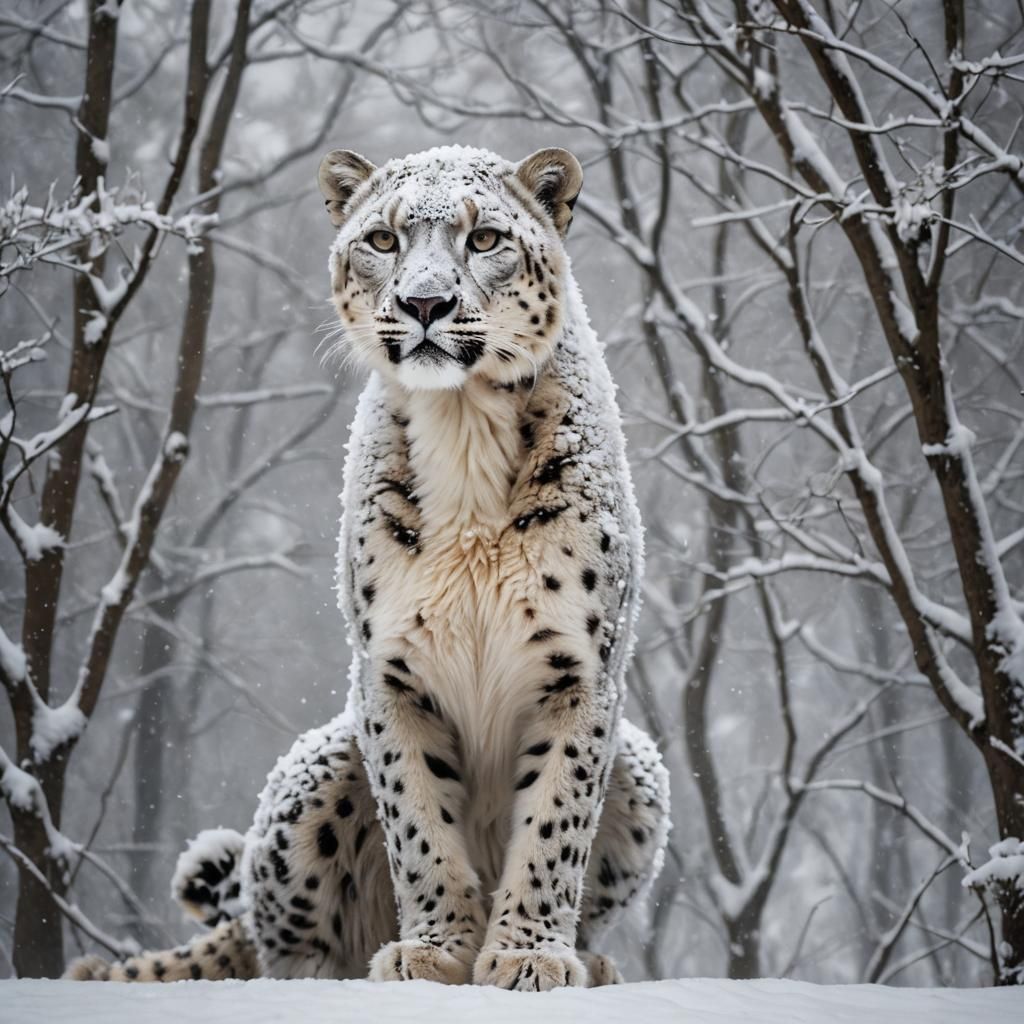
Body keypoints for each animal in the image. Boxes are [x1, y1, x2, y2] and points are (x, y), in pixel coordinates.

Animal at [65, 145, 670, 991]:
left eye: (485, 239)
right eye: (382, 240)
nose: (425, 301)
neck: (463, 431)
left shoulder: (579, 666)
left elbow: (554, 824)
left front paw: (524, 956)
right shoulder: (390, 669)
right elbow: (419, 823)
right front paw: (438, 950)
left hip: (642, 769)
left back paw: (595, 961)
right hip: (317, 774)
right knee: (271, 938)